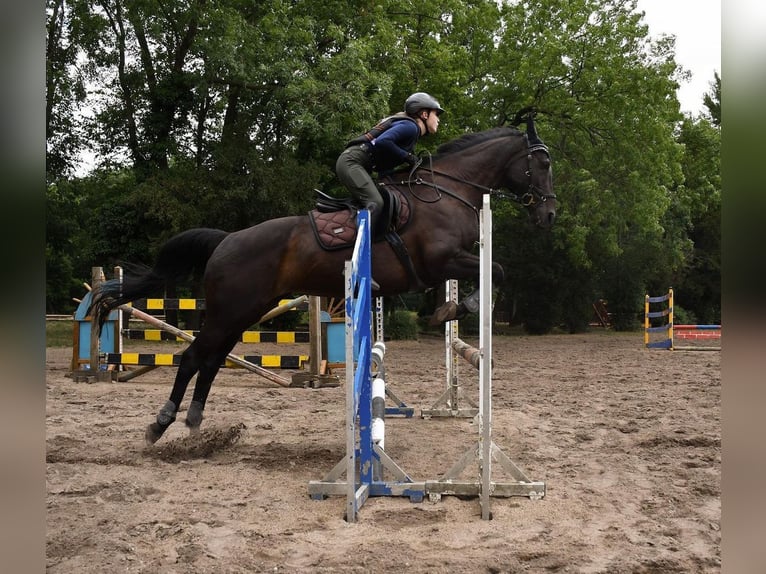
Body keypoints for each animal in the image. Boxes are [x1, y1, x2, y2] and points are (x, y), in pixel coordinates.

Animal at [91, 113, 560, 446]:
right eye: (543, 162)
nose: (550, 214)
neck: (446, 191)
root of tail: (226, 240)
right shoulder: (441, 260)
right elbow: (496, 271)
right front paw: (455, 308)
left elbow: (494, 272)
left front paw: (453, 308)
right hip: (230, 310)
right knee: (192, 358)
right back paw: (162, 422)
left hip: (244, 312)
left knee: (211, 360)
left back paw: (193, 421)